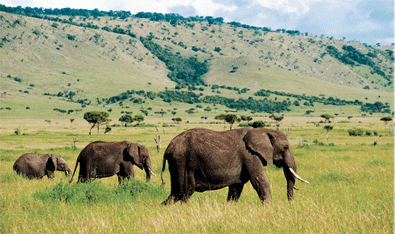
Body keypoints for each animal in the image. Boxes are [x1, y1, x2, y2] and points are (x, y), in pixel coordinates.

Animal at [161, 128, 310, 205]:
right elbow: (260, 181)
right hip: (183, 162)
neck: (262, 130)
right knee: (184, 192)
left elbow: (236, 187)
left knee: (177, 193)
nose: (291, 204)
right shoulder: (250, 156)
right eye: (285, 147)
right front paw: (270, 208)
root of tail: (168, 148)